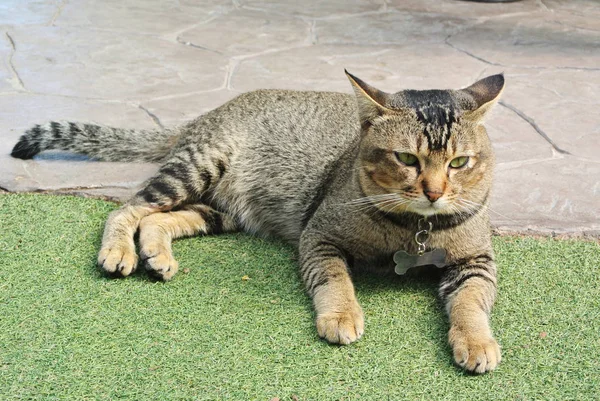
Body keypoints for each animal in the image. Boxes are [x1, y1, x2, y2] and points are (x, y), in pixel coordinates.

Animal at [11, 71, 504, 372]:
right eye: (406, 159)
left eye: (460, 162)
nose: (434, 192)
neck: (412, 231)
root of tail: (202, 117)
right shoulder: (318, 236)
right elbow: (335, 280)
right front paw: (341, 315)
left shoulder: (477, 260)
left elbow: (472, 302)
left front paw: (477, 342)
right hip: (197, 167)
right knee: (127, 207)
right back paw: (117, 252)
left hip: (222, 210)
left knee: (158, 219)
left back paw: (156, 254)